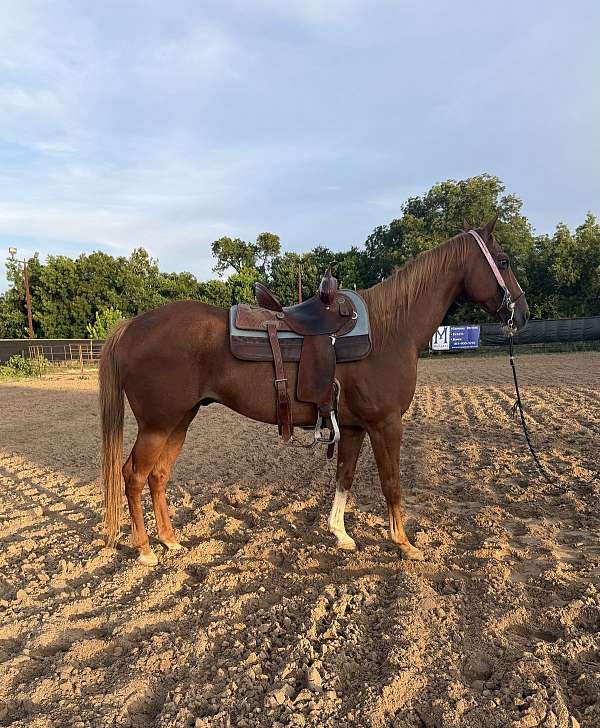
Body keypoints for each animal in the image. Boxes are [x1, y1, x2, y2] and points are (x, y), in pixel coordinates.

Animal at [99, 216, 529, 565]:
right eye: (504, 261)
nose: (522, 315)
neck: (390, 329)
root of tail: (132, 326)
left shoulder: (353, 428)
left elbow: (345, 477)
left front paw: (341, 534)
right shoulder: (386, 425)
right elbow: (391, 482)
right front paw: (404, 543)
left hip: (180, 420)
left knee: (158, 476)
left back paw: (170, 540)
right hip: (158, 425)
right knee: (134, 475)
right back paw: (145, 551)